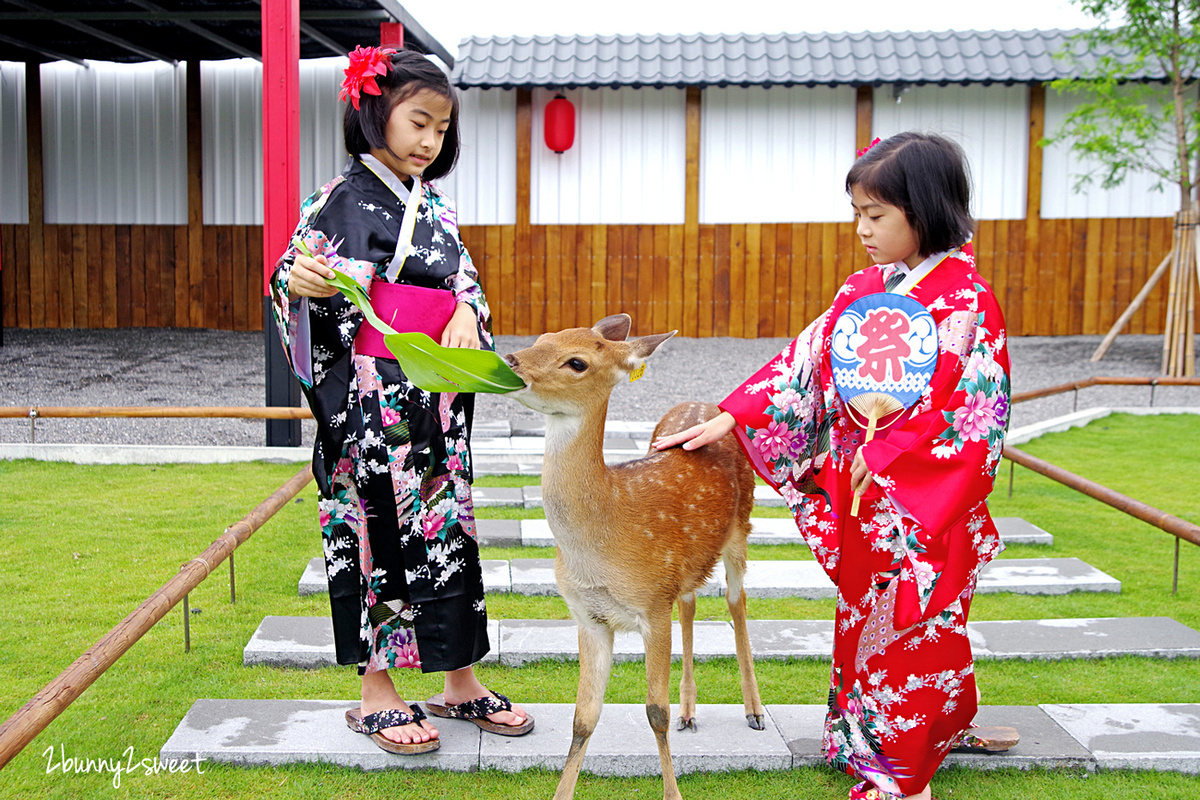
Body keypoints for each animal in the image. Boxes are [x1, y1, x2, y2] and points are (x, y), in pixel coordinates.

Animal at [501, 314, 763, 800]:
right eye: (543, 338)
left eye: (577, 362)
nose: (510, 360)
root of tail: (703, 404)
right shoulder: (590, 616)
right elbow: (583, 717)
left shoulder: (651, 606)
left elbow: (654, 711)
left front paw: (673, 794)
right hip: (684, 569)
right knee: (690, 604)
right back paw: (690, 711)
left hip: (741, 529)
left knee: (736, 603)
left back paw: (754, 711)